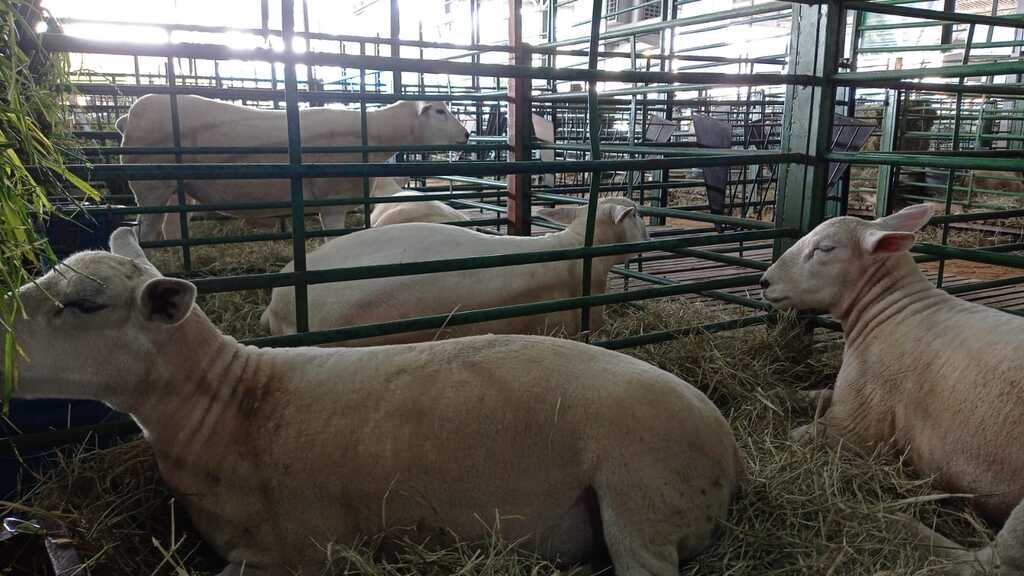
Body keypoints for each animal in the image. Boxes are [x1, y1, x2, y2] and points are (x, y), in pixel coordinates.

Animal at [117, 93, 468, 239]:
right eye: (439, 111)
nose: (466, 135)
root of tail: (129, 115)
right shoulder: (332, 199)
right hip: (149, 186)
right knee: (146, 232)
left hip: (174, 189)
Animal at [761, 202, 1024, 569]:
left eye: (825, 248)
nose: (763, 282)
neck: (887, 309)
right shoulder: (849, 393)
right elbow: (818, 393)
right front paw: (776, 393)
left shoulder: (855, 423)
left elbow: (797, 435)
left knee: (984, 565)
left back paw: (894, 522)